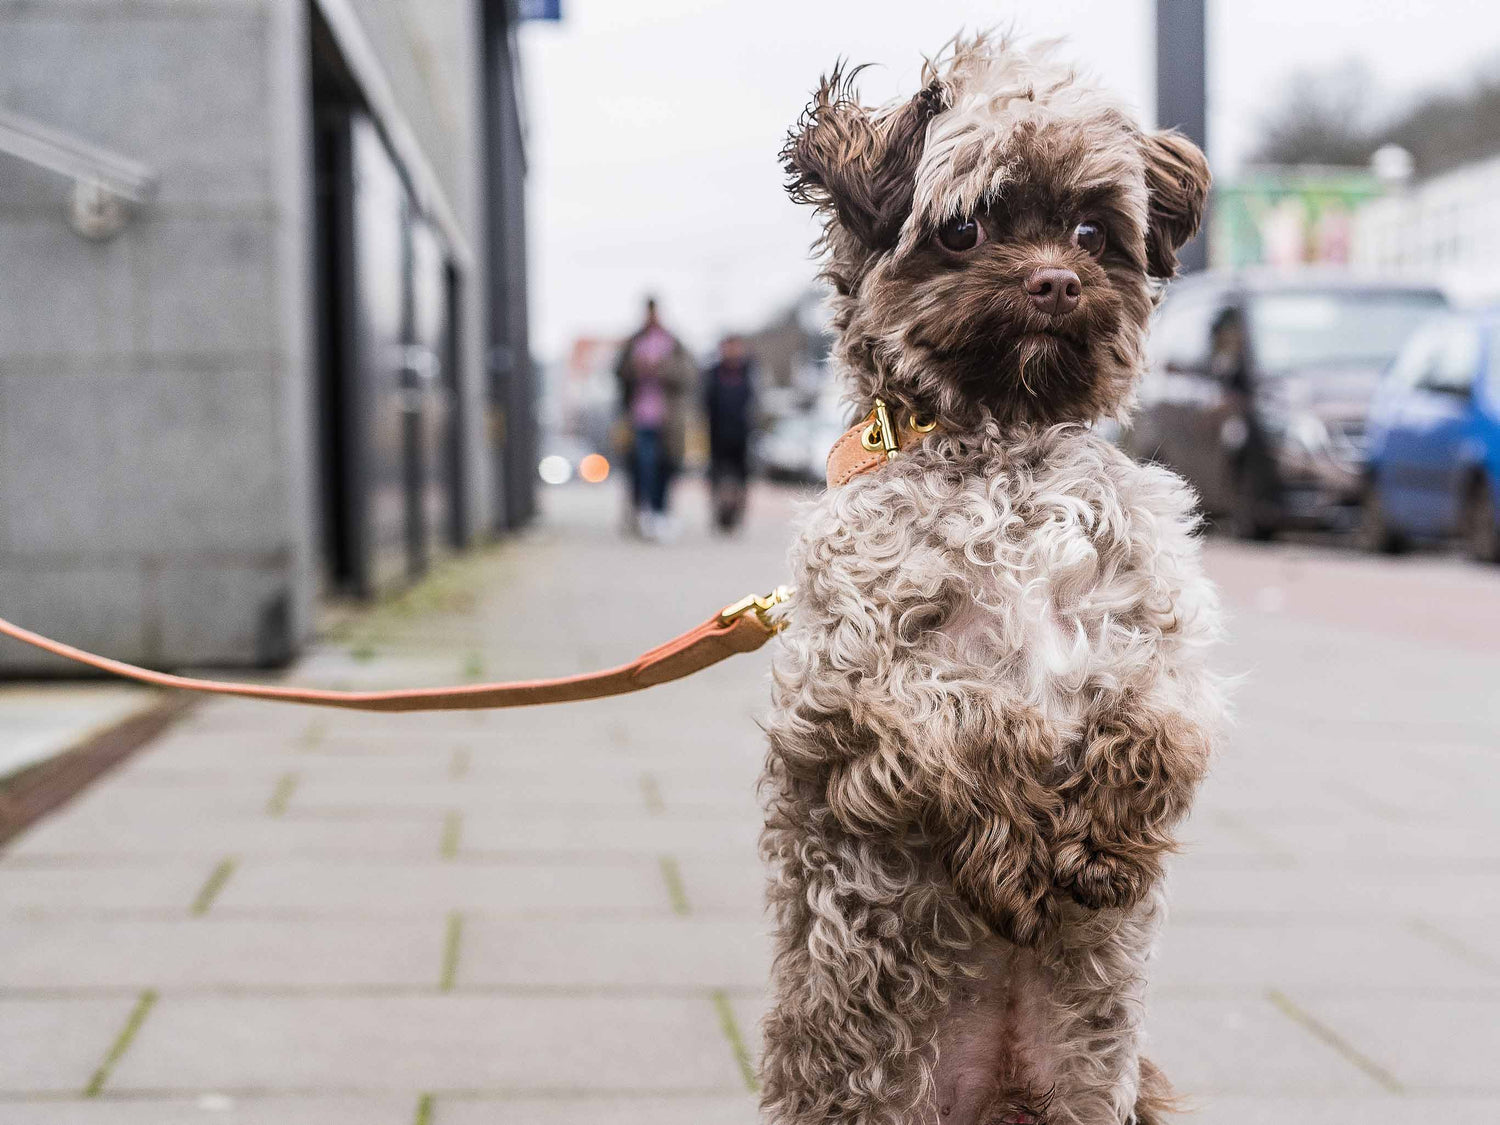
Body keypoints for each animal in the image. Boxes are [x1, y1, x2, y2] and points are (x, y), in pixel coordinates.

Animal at [756, 35, 1224, 1125]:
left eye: (1094, 229)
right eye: (962, 227)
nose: (1055, 280)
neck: (1004, 447)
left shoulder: (1155, 637)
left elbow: (1153, 727)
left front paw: (1099, 850)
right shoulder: (846, 685)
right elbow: (972, 720)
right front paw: (1019, 860)